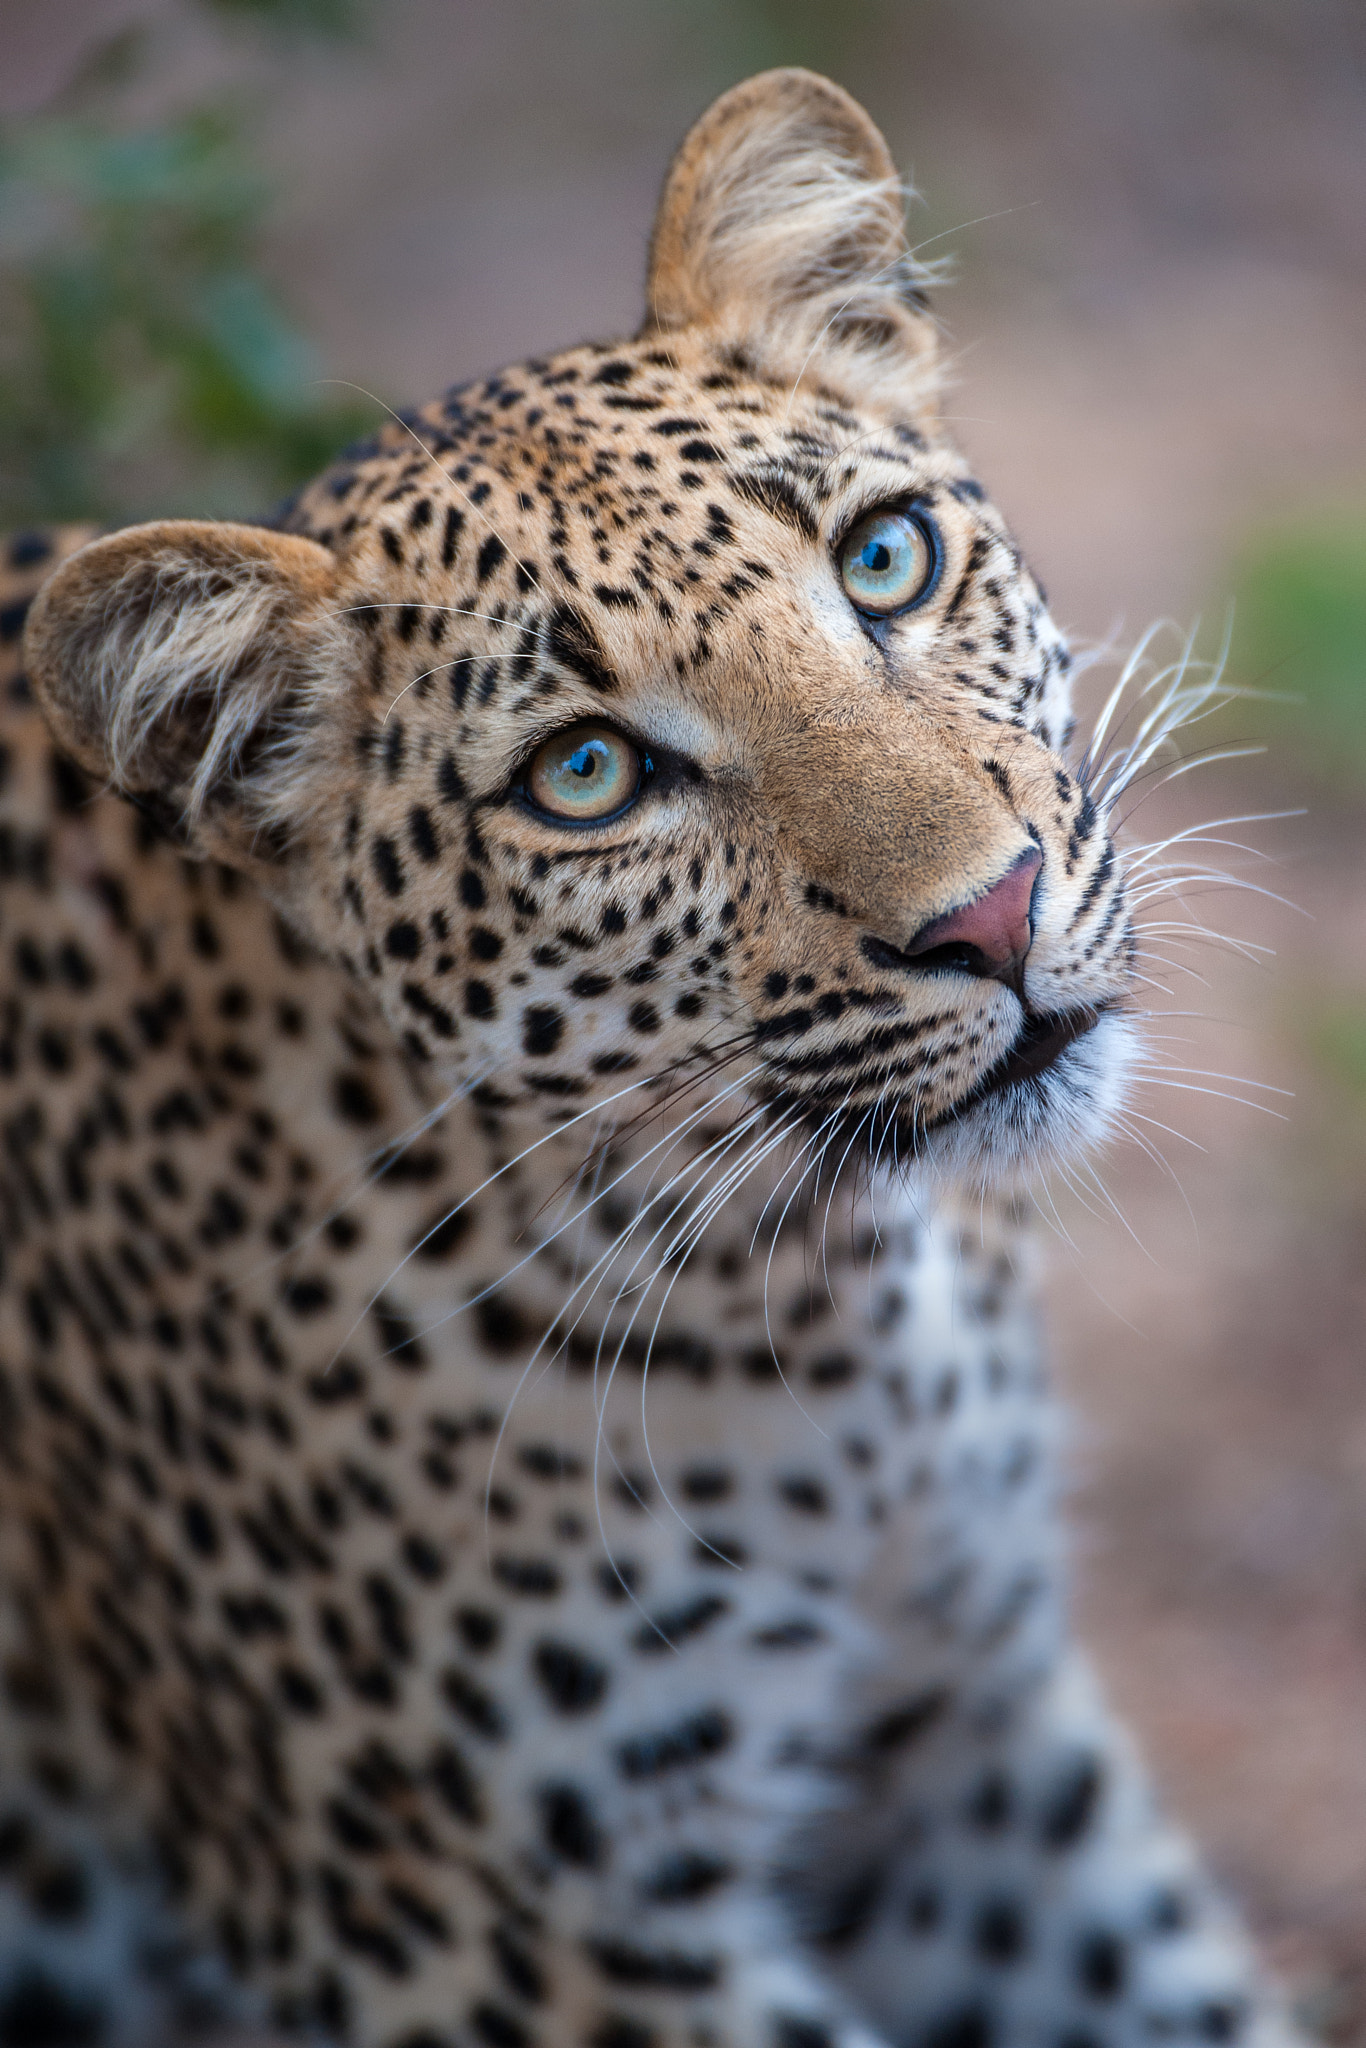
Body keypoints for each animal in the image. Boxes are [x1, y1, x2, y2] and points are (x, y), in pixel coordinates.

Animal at [0, 66, 1303, 2048]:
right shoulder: (491, 1919)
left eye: (883, 562)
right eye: (588, 777)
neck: (828, 1290)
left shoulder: (966, 1743)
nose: (991, 915)